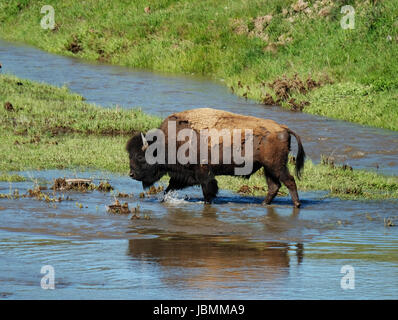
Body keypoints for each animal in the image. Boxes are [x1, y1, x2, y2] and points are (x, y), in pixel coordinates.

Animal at [127, 107, 304, 208]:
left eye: (140, 157)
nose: (131, 174)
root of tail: (283, 128)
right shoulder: (184, 175)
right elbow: (169, 188)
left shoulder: (204, 174)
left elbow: (208, 192)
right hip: (268, 168)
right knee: (274, 186)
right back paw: (264, 204)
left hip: (276, 166)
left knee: (289, 181)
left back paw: (296, 205)